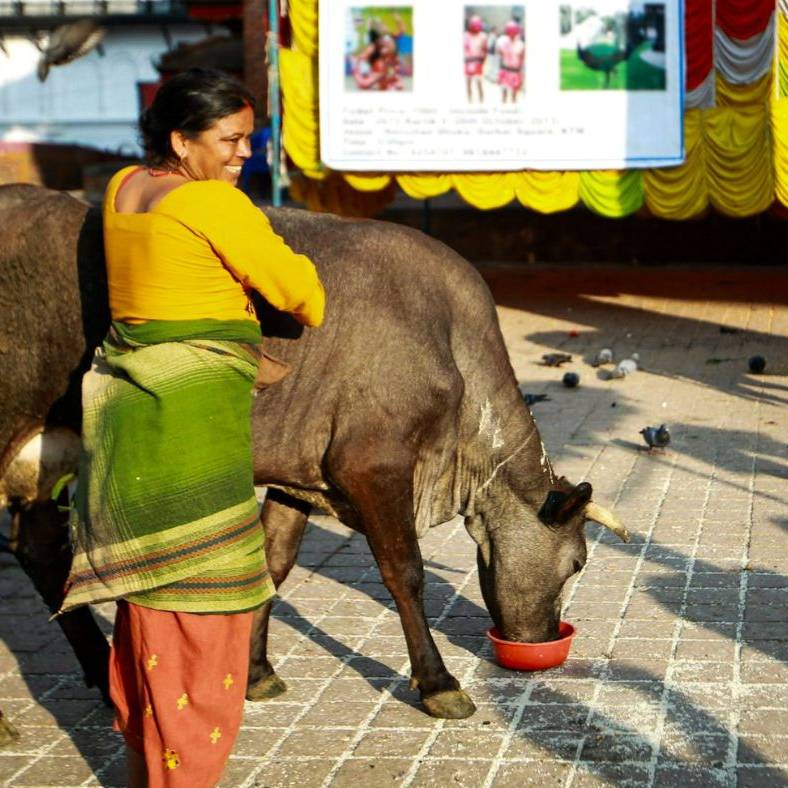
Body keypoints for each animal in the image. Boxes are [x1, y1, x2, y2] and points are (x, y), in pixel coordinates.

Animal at [1, 186, 628, 728]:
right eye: (577, 562)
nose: (547, 634)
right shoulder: (372, 462)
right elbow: (405, 571)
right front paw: (438, 684)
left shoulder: (297, 473)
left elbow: (274, 564)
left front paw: (256, 671)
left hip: (47, 448)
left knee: (38, 548)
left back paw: (105, 680)